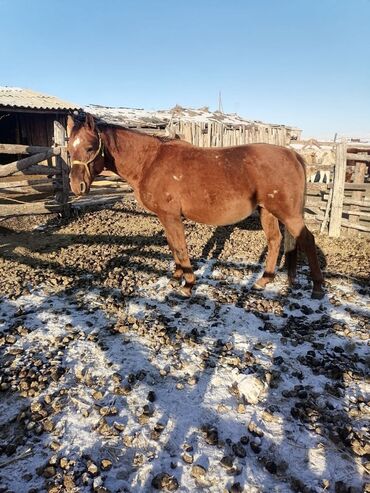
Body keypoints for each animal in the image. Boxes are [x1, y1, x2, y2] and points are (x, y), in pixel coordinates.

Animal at [66, 114, 324, 300]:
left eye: (90, 147)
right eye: (69, 149)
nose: (77, 186)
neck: (150, 161)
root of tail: (292, 154)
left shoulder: (171, 216)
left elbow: (180, 247)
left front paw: (188, 285)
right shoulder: (165, 217)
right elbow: (172, 246)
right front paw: (176, 277)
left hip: (288, 214)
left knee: (307, 240)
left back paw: (318, 288)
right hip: (268, 211)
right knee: (275, 241)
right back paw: (263, 280)